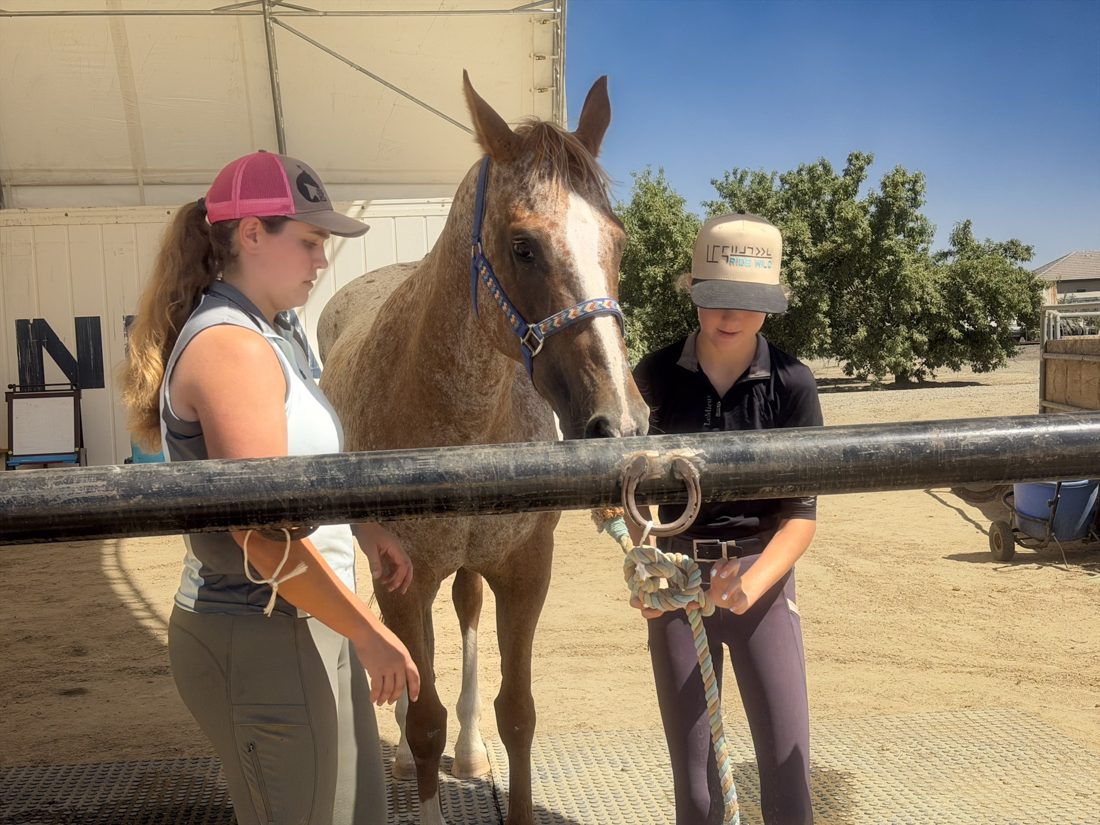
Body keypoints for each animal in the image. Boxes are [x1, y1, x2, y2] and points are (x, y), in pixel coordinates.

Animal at [317, 72, 648, 825]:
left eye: (617, 240)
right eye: (523, 245)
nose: (619, 422)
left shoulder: (525, 568)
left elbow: (517, 711)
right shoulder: (403, 575)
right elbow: (422, 719)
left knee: (464, 618)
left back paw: (468, 753)